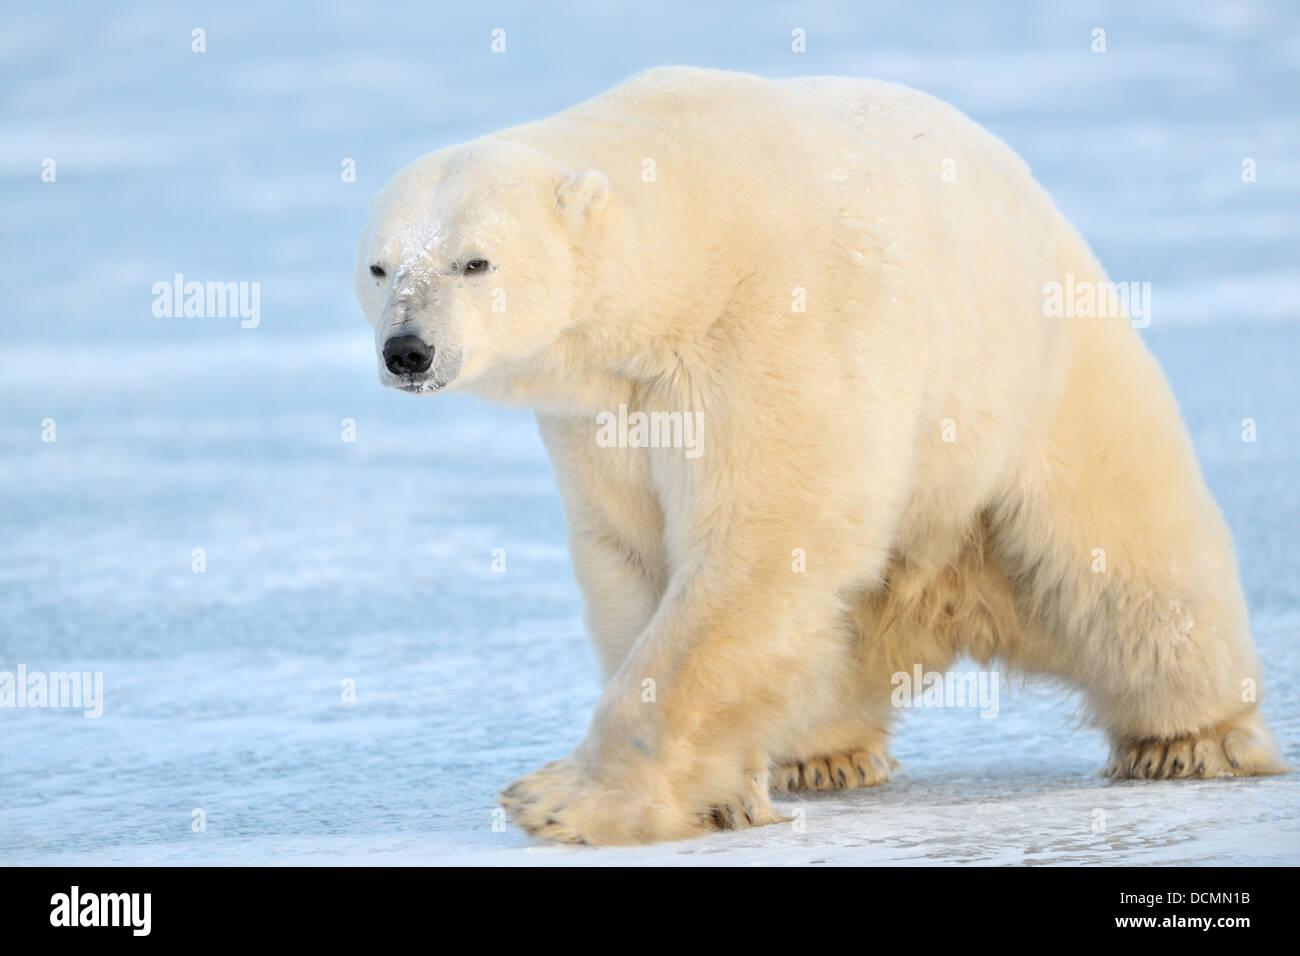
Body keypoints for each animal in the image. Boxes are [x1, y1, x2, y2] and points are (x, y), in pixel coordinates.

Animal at [353, 65, 1279, 842]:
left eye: (475, 261)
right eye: (380, 267)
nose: (408, 351)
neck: (691, 246)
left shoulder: (773, 330)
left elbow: (766, 537)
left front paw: (562, 802)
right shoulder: (607, 411)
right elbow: (634, 554)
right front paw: (721, 795)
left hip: (1035, 381)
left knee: (1125, 566)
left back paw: (1192, 739)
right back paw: (823, 752)